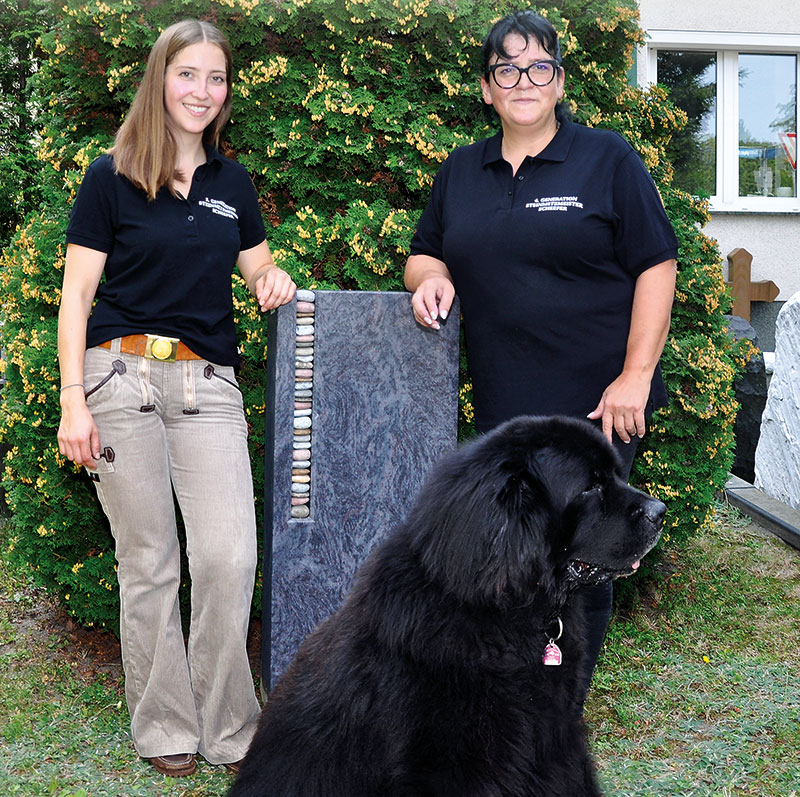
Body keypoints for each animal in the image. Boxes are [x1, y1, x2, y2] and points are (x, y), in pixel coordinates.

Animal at [228, 414, 664, 792]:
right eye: (589, 487)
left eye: (615, 474)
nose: (661, 511)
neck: (512, 613)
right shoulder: (457, 762)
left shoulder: (554, 737)